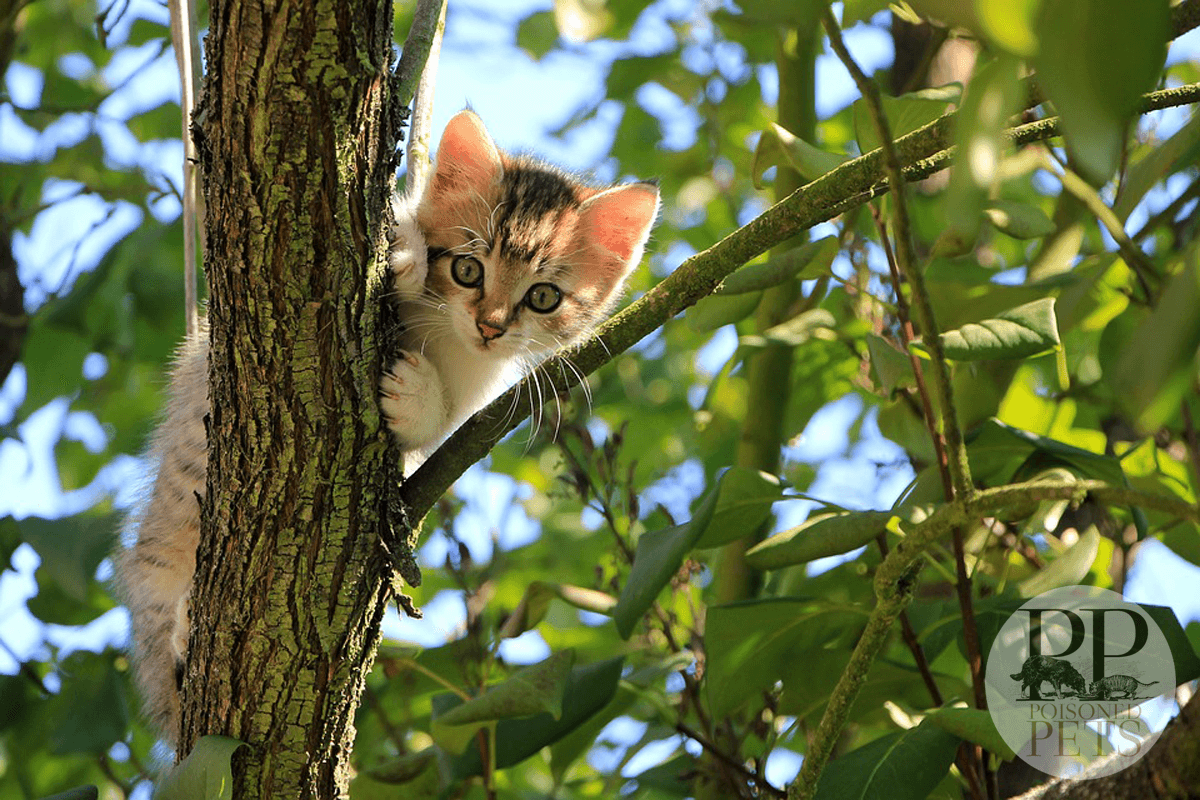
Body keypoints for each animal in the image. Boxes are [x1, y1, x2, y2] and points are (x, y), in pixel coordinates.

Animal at [117, 109, 662, 748]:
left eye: (543, 297)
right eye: (468, 268)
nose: (491, 326)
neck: (446, 335)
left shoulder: (474, 396)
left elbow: (437, 425)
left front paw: (416, 395)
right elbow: (397, 229)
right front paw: (405, 255)